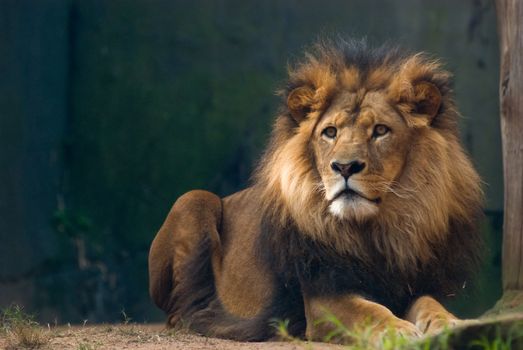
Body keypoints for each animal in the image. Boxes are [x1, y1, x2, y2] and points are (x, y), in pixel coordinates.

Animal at [147, 38, 484, 342]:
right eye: (330, 132)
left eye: (380, 130)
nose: (345, 167)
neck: (376, 231)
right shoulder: (323, 296)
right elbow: (368, 311)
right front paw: (396, 330)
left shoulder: (415, 283)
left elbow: (431, 304)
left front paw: (453, 324)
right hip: (192, 199)